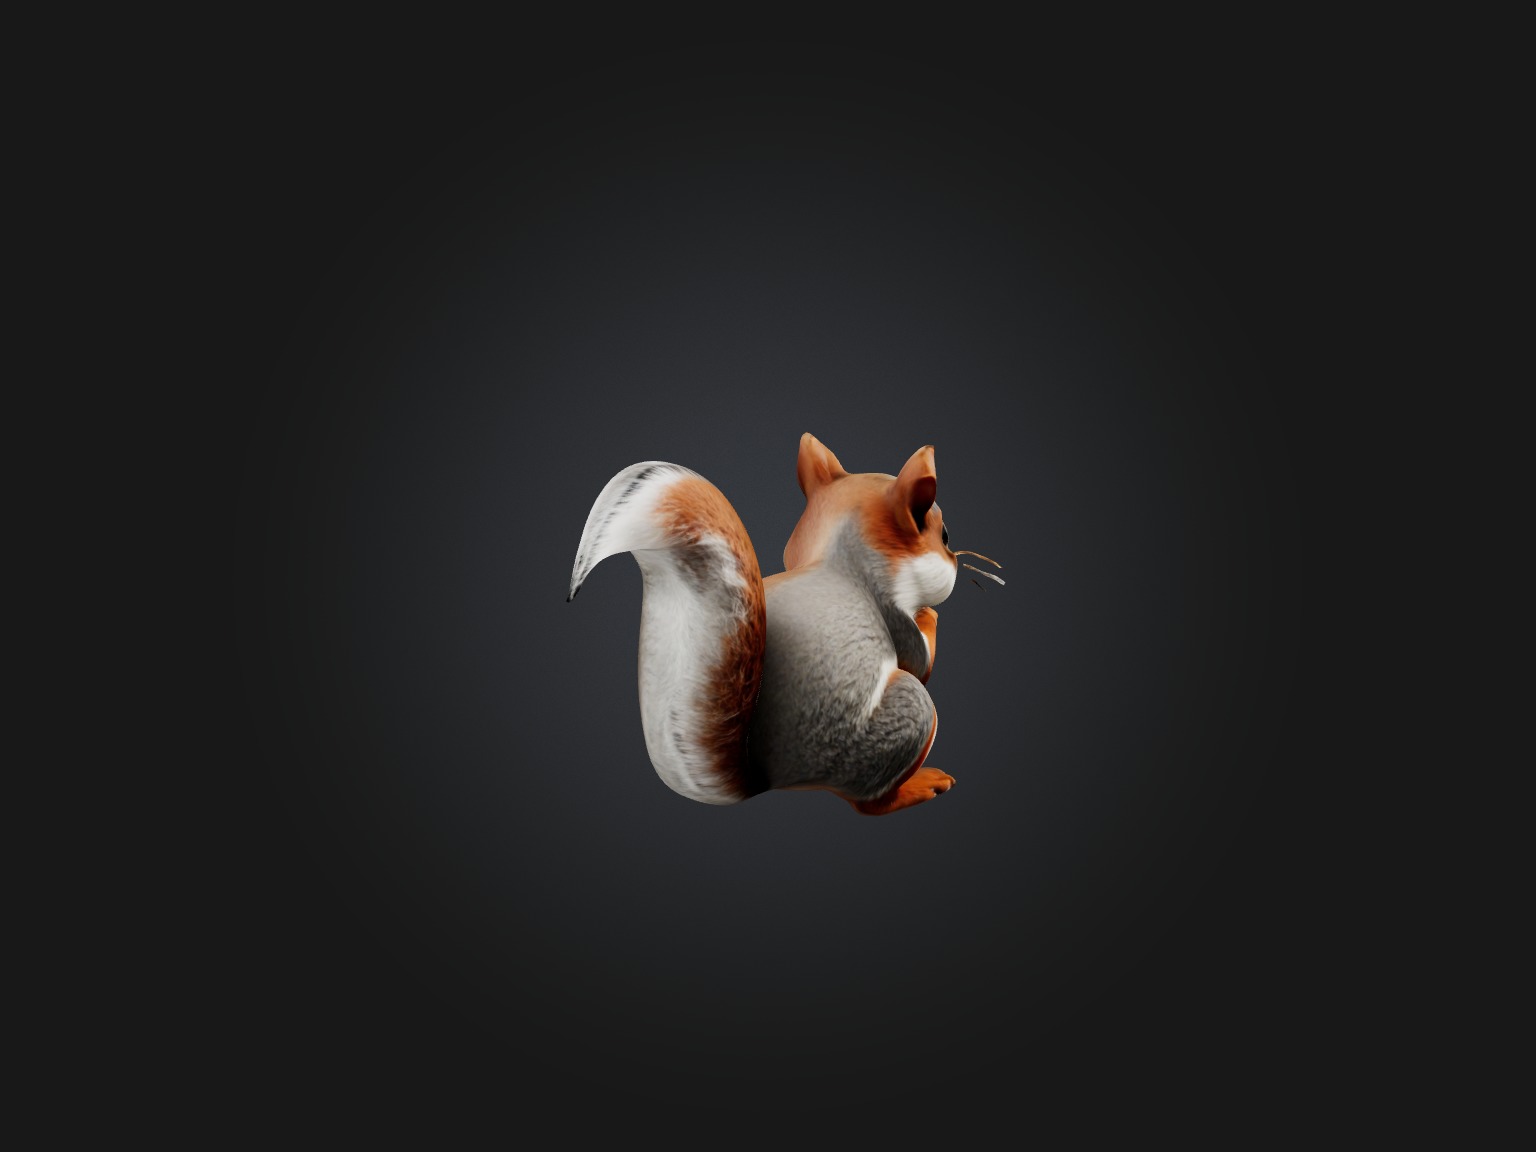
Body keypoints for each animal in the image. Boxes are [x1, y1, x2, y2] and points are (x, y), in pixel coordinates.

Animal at [568, 433, 977, 816]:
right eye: (943, 536)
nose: (956, 560)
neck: (839, 554)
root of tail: (773, 780)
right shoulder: (893, 613)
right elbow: (919, 662)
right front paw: (931, 616)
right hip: (910, 715)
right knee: (867, 801)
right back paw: (917, 786)